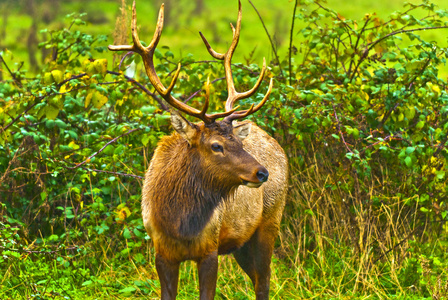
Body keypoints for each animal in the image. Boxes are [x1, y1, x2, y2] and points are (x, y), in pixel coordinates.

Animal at [110, 1, 288, 298]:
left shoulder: (209, 249)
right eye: (216, 146)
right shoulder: (162, 252)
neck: (179, 223)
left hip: (270, 221)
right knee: (257, 279)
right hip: (242, 243)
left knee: (264, 282)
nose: (262, 173)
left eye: (239, 143)